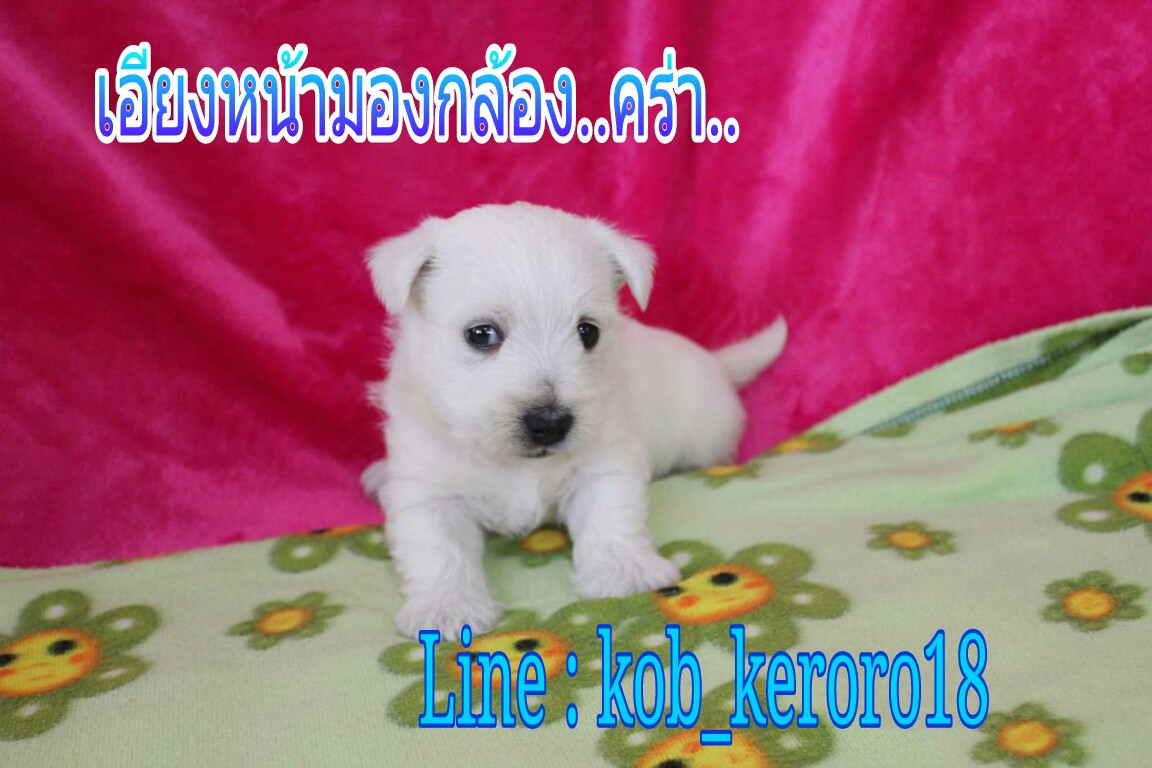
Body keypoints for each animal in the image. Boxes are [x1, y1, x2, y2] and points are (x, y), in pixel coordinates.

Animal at [362, 202, 786, 639]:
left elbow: (611, 515)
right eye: (481, 334)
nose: (550, 423)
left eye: (587, 332)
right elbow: (438, 549)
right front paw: (447, 607)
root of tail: (716, 363)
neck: (512, 461)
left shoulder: (605, 462)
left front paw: (624, 571)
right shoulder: (428, 490)